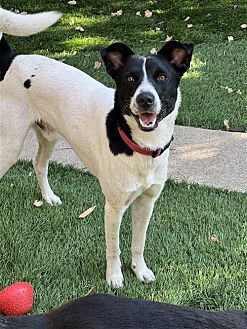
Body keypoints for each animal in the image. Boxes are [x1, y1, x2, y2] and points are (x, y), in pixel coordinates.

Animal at [0, 8, 193, 288]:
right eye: (131, 78)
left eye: (162, 77)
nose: (145, 99)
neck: (141, 147)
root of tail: (13, 59)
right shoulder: (113, 206)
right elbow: (114, 247)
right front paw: (114, 277)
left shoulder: (147, 202)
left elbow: (139, 242)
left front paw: (139, 270)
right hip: (10, 144)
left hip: (49, 135)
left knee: (39, 164)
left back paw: (48, 197)